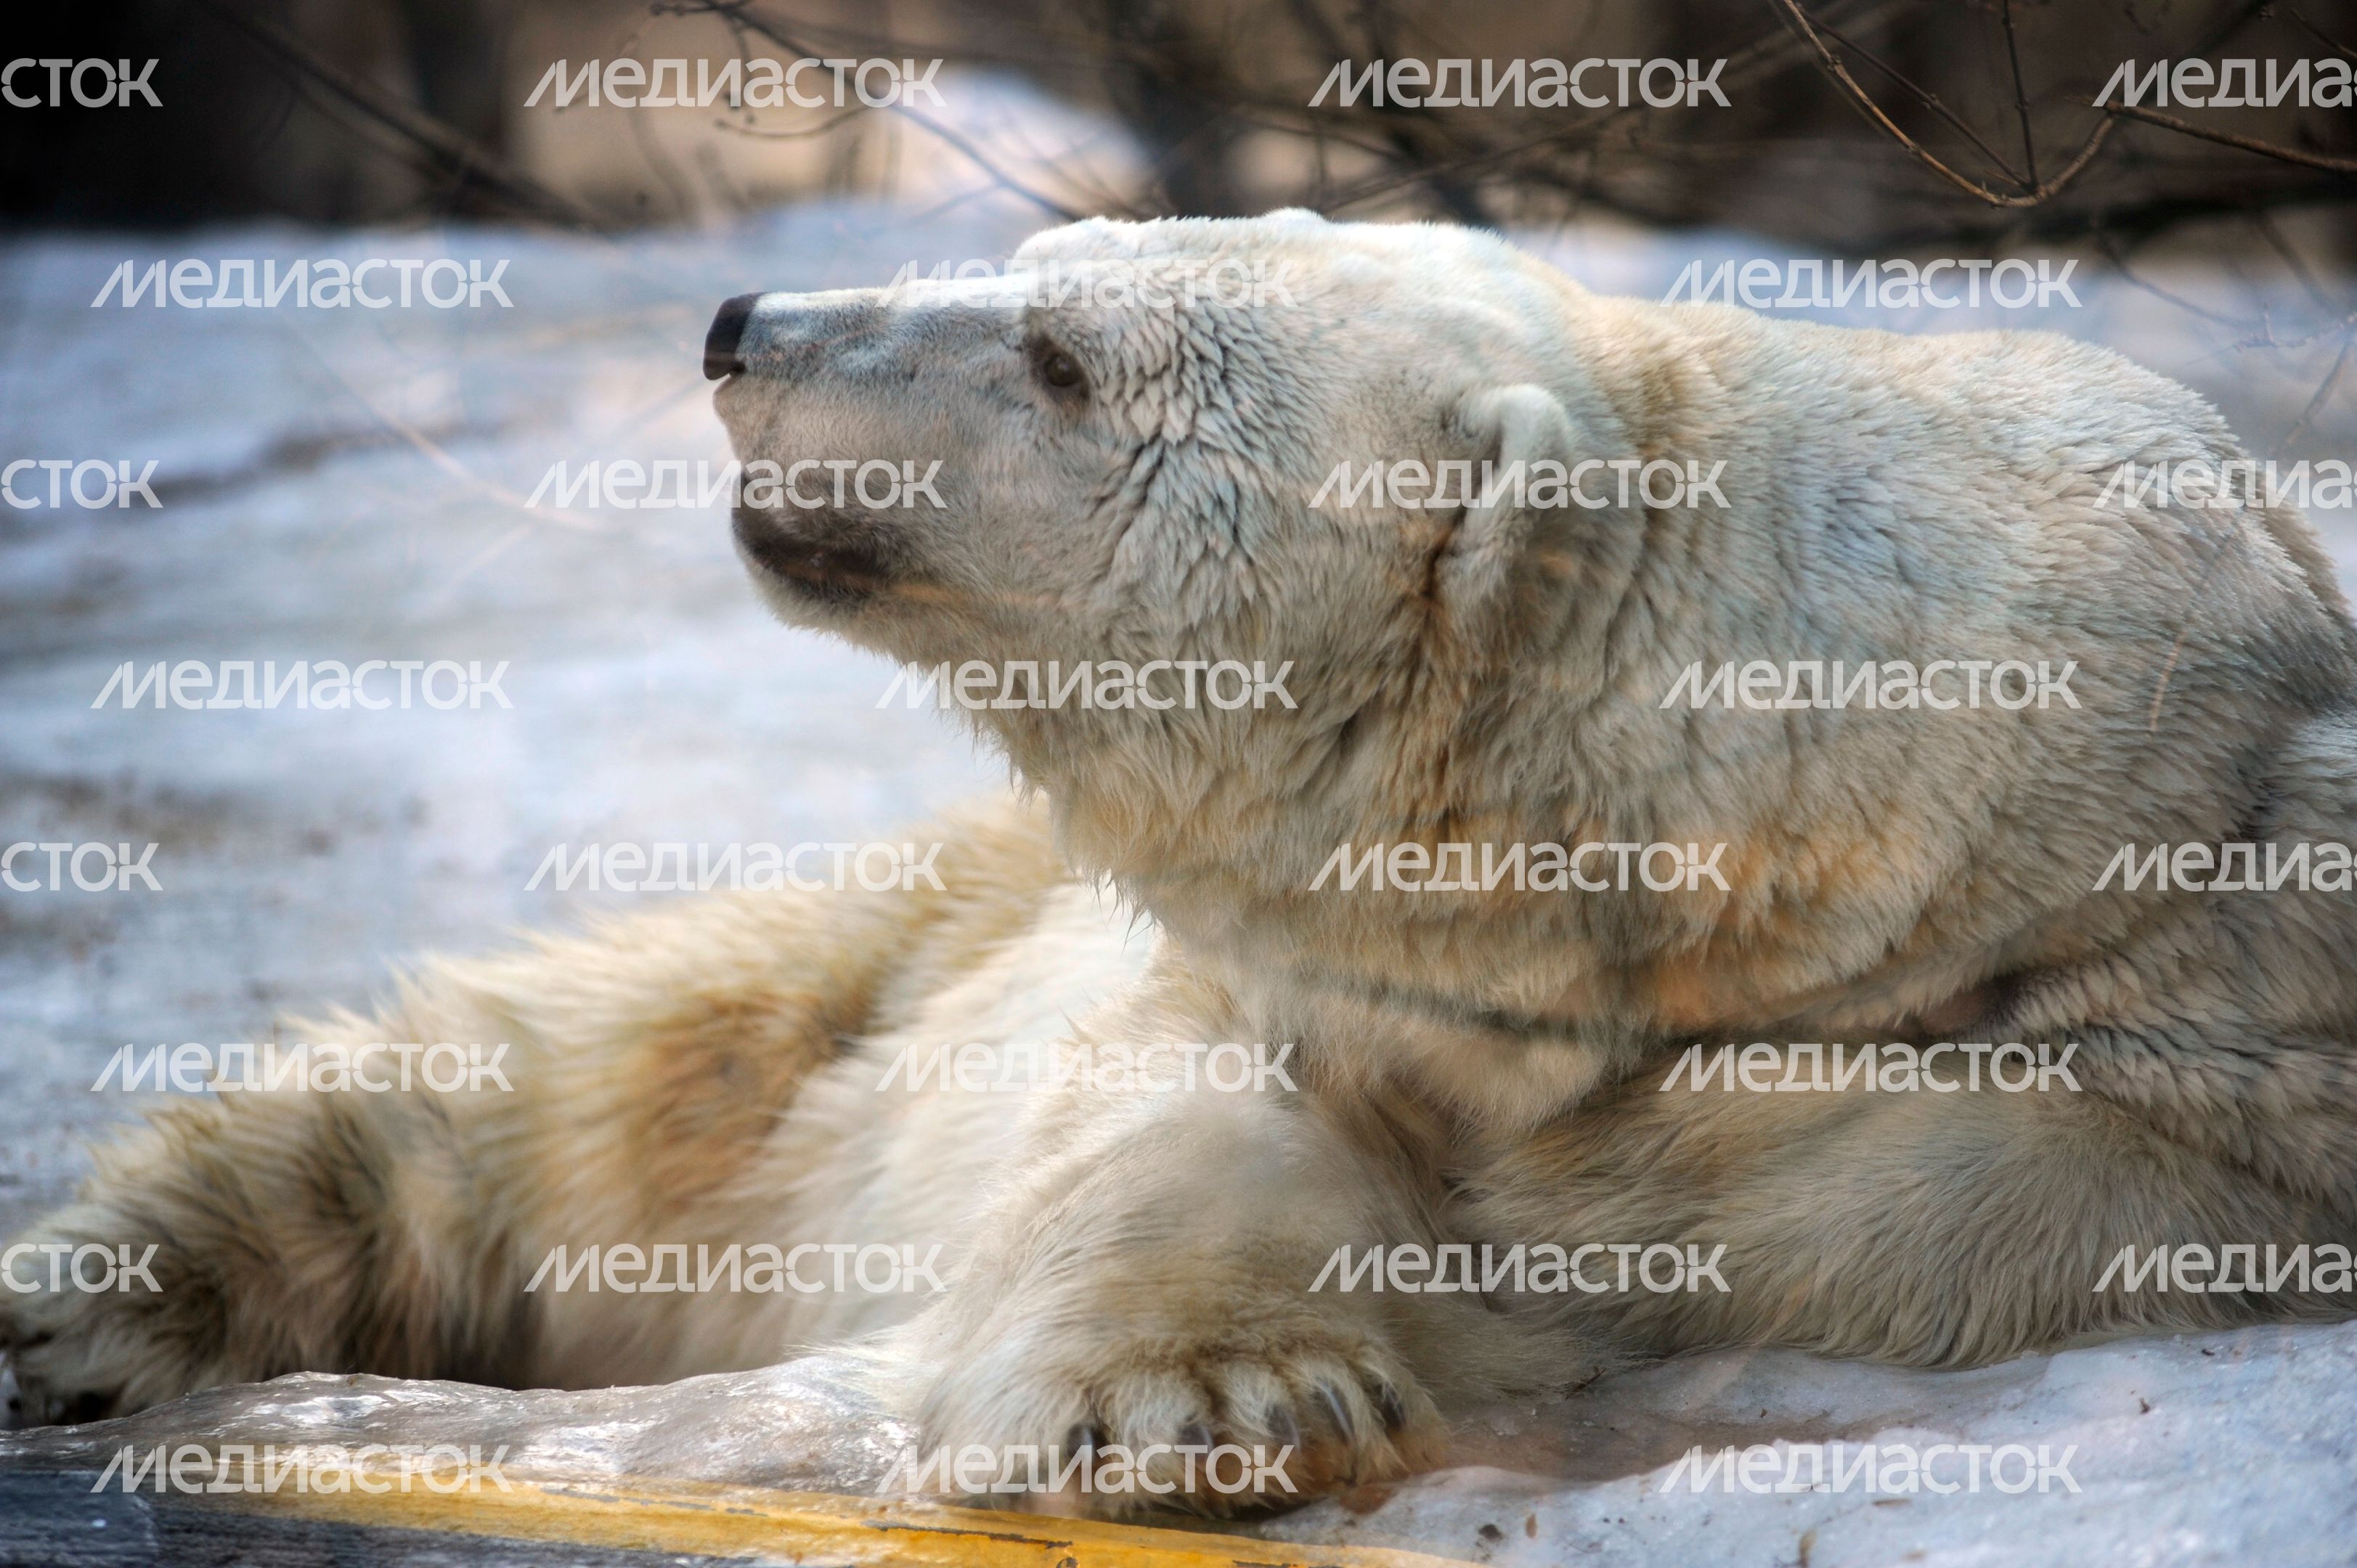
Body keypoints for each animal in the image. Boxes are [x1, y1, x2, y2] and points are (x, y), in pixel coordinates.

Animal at [7, 211, 2357, 1519]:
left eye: (1059, 361)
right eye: (1040, 273)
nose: (743, 321)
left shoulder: (2214, 1009)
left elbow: (1960, 1190)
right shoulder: (1230, 971)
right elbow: (1163, 1111)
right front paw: (1200, 1398)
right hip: (880, 944)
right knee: (570, 1084)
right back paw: (90, 1306)